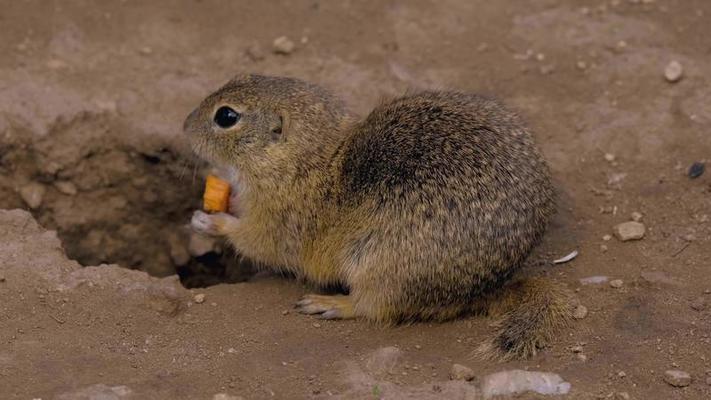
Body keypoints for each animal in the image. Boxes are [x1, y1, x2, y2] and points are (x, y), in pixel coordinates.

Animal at [185, 73, 572, 358]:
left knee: (373, 307)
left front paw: (210, 221)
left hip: (380, 266)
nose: (185, 126)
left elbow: (257, 242)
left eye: (226, 116)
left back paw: (330, 303)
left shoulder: (280, 219)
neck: (308, 158)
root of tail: (482, 290)